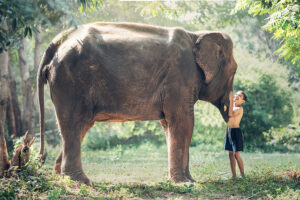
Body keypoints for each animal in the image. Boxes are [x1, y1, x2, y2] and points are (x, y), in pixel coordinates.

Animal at [37, 21, 237, 184]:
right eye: (235, 70)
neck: (196, 34)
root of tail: (58, 41)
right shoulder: (180, 76)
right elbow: (183, 122)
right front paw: (186, 183)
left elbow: (169, 124)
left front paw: (188, 180)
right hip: (70, 81)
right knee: (74, 123)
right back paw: (80, 181)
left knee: (80, 127)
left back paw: (61, 176)